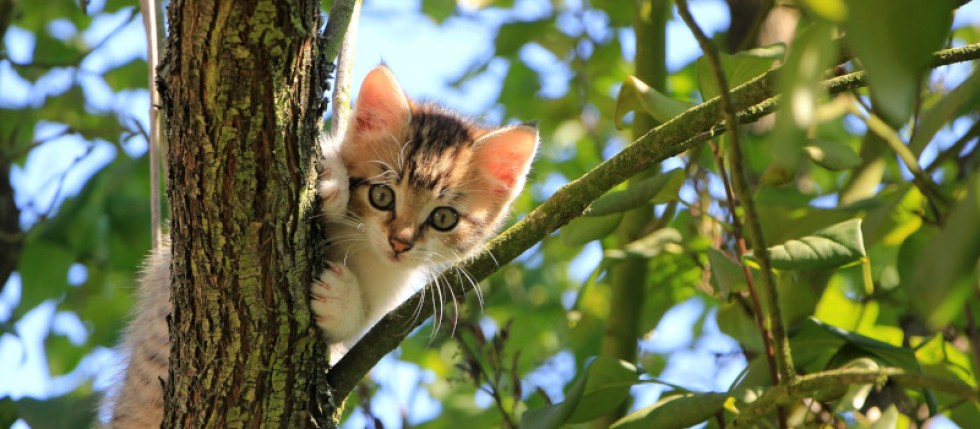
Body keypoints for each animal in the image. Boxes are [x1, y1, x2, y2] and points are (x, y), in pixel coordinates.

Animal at [103, 65, 540, 426]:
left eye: (443, 218)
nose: (399, 242)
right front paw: (332, 179)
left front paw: (340, 297)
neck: (361, 245)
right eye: (382, 195)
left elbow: (357, 326)